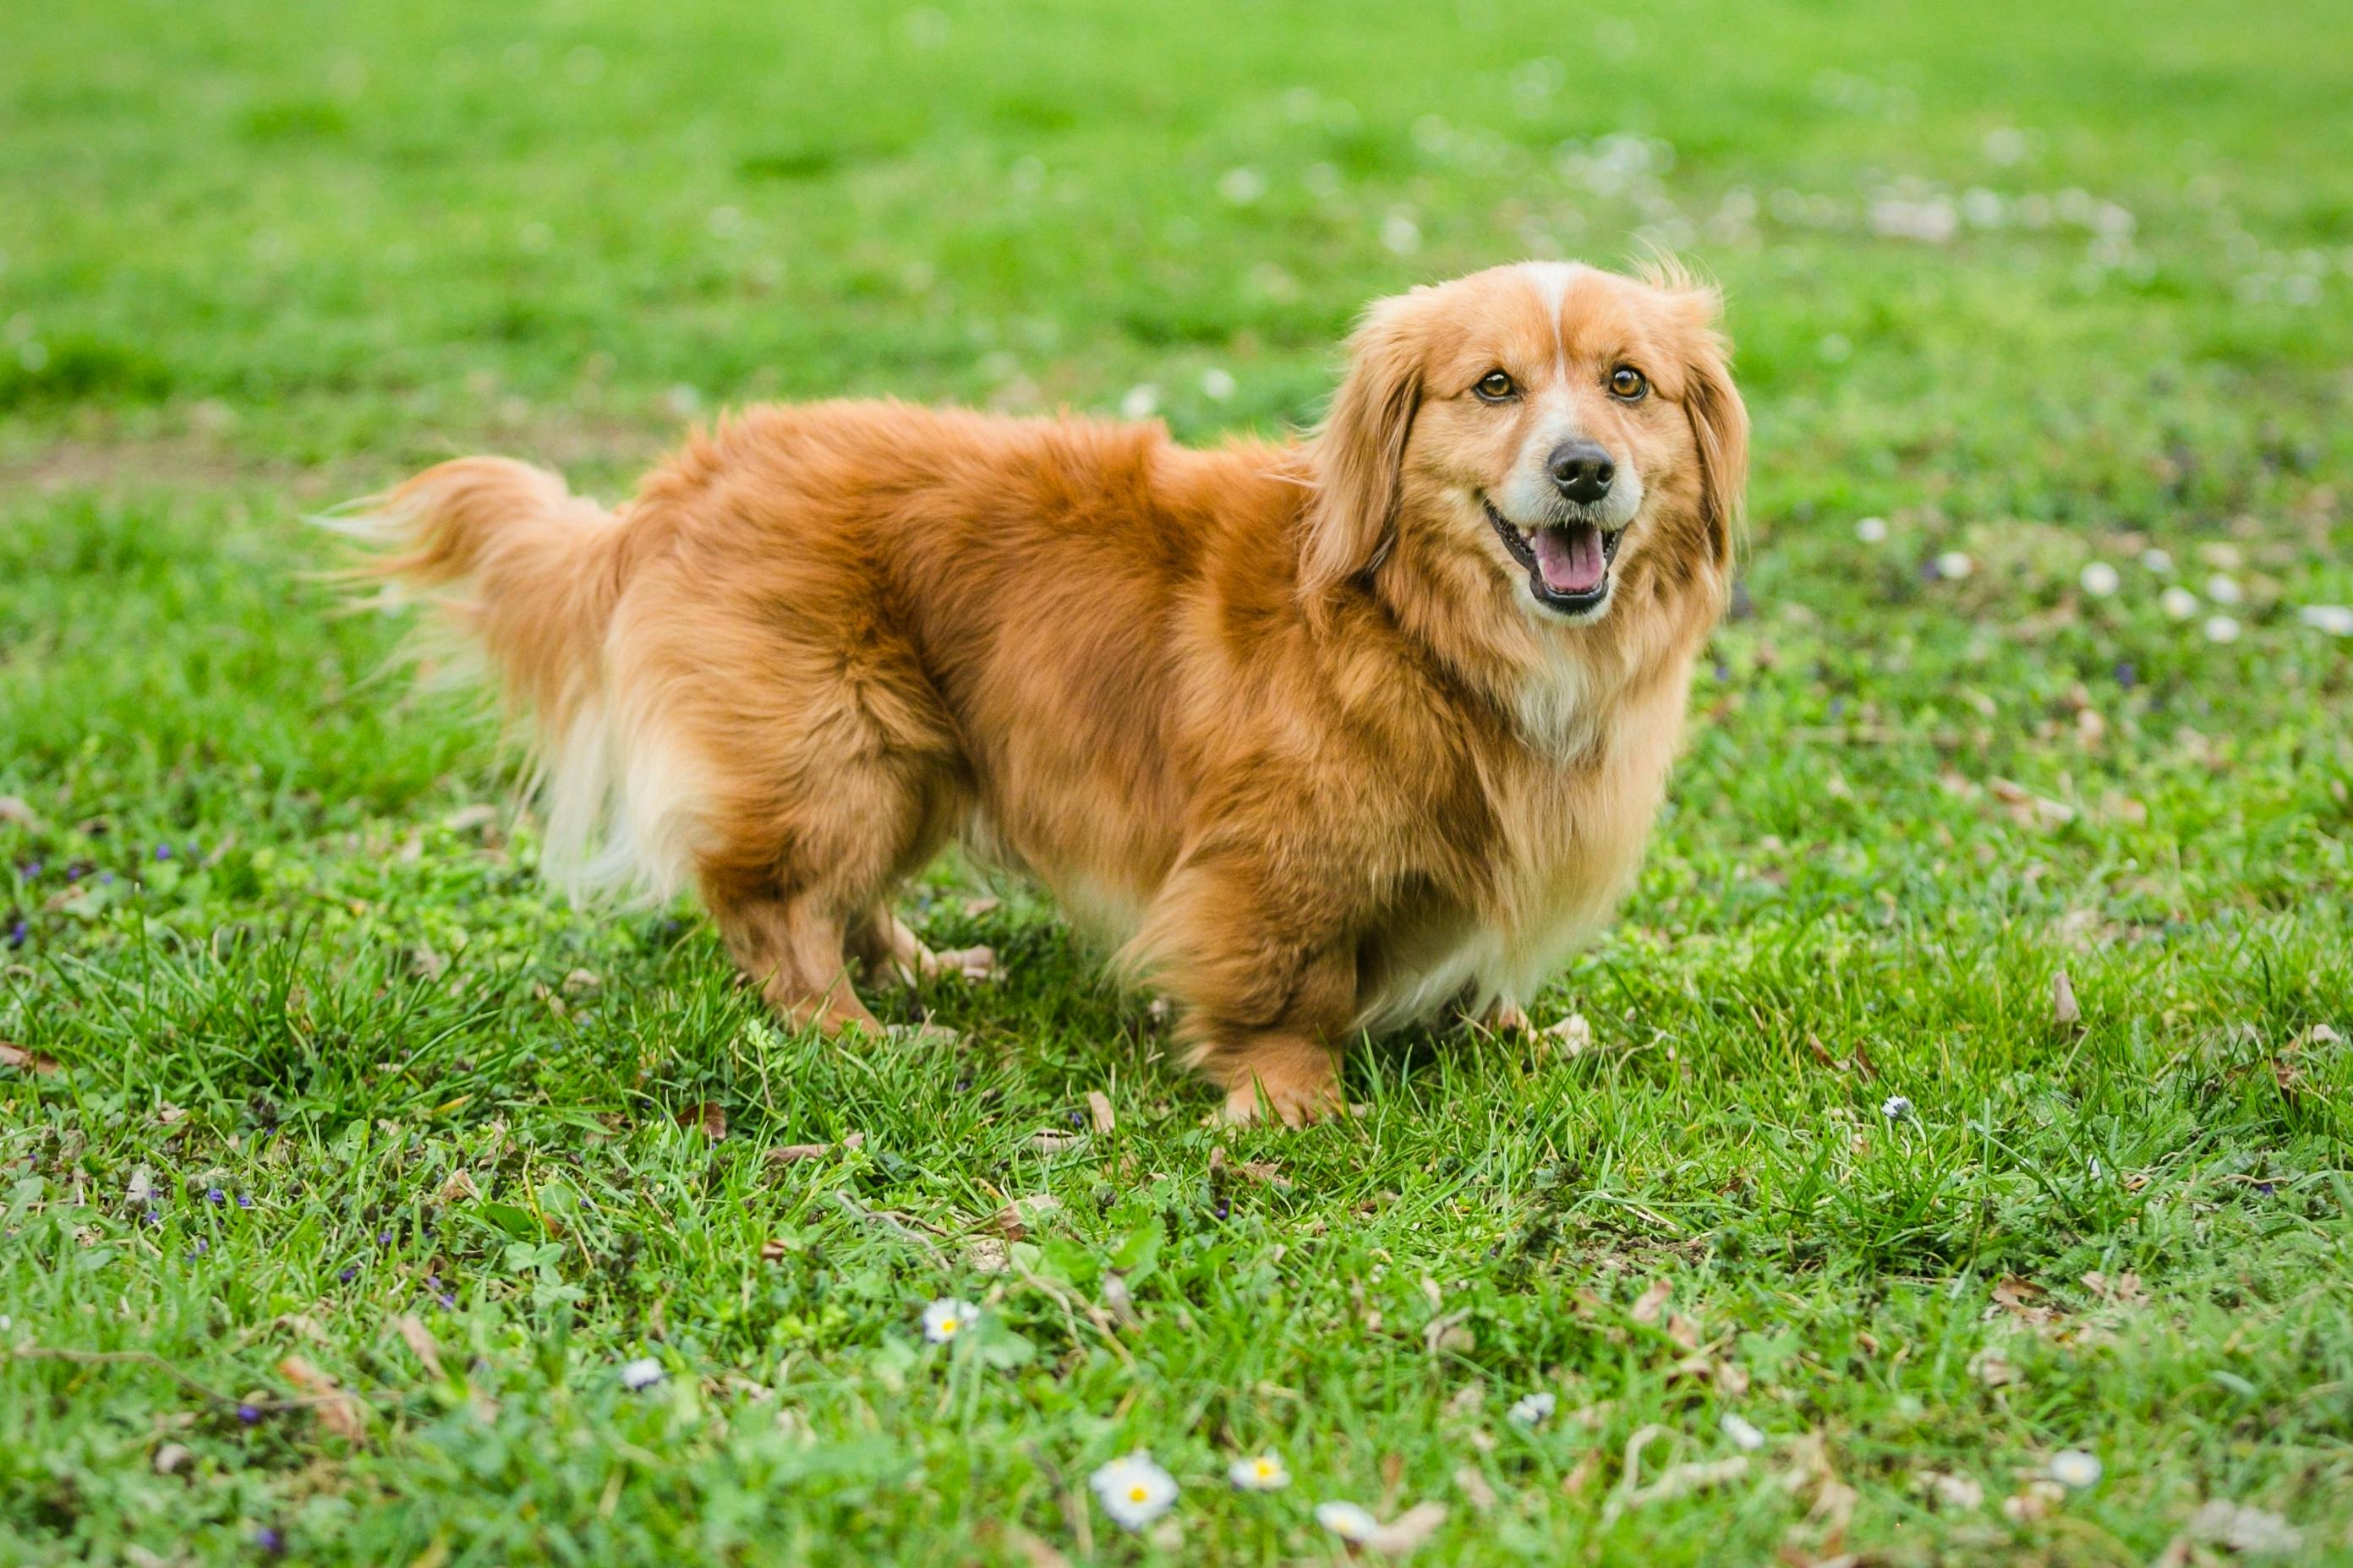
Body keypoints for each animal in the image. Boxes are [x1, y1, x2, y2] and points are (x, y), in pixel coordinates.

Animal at [353, 257, 1750, 1123]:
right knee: (778, 911)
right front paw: (1288, 1099)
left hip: (918, 755)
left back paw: (927, 966)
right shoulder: (1271, 865)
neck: (1428, 631)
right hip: (837, 752)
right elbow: (1288, 989)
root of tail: (684, 478)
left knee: (850, 896)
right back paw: (860, 1034)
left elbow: (1472, 972)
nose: (1581, 470)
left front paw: (1507, 1030)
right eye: (1493, 386)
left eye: (1627, 383)